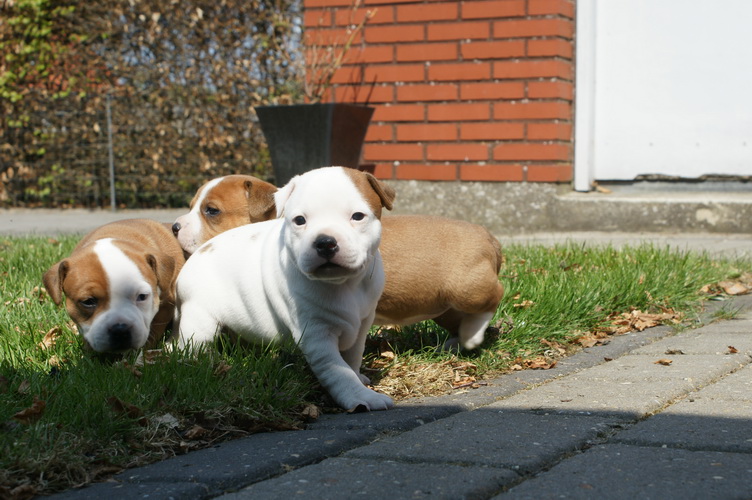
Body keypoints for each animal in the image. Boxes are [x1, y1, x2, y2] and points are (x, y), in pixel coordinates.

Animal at [173, 174, 504, 350]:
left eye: (211, 211)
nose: (174, 227)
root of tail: (491, 238)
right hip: (442, 304)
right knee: (458, 319)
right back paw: (457, 342)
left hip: (467, 288)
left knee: (493, 298)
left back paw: (472, 336)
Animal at [175, 167, 396, 411]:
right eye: (299, 220)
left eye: (357, 216)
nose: (325, 242)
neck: (344, 283)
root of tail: (198, 253)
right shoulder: (317, 334)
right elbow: (339, 371)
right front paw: (360, 396)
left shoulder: (363, 323)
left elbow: (353, 357)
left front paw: (359, 377)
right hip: (200, 322)